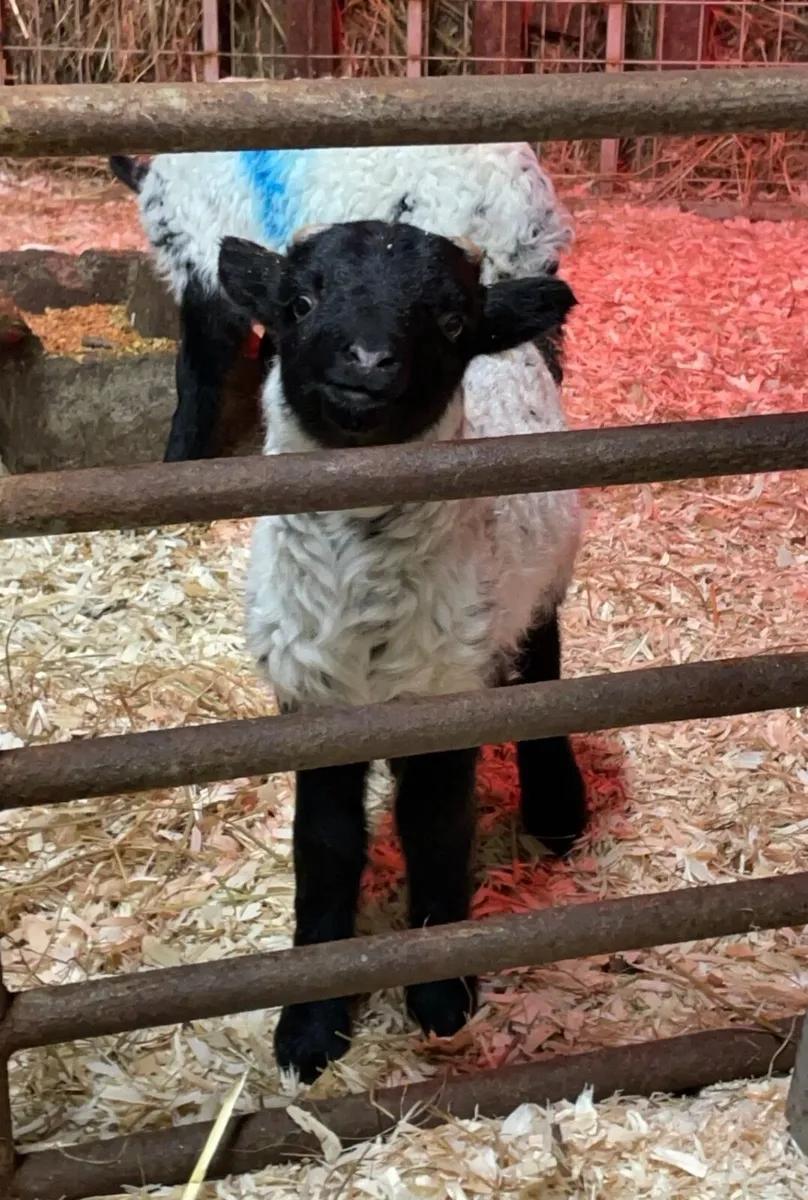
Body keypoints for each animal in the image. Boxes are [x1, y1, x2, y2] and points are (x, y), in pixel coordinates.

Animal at [216, 218, 588, 1084]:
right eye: (300, 301)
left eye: (451, 322)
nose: (366, 359)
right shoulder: (310, 699)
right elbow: (324, 848)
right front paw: (309, 1030)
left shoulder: (447, 694)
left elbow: (436, 830)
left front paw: (441, 997)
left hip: (543, 579)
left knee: (544, 669)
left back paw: (558, 809)